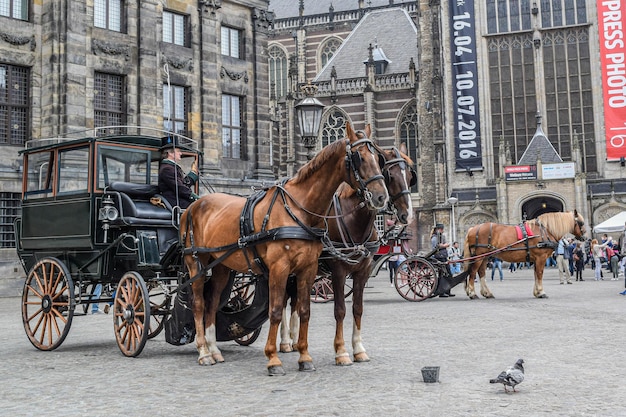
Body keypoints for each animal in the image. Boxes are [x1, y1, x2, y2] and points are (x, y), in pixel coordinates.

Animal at [178, 122, 388, 374]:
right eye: (359, 158)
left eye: (378, 158)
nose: (381, 197)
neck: (300, 210)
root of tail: (193, 206)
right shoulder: (282, 267)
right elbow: (276, 310)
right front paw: (273, 359)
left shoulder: (308, 268)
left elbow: (305, 310)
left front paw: (304, 356)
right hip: (195, 263)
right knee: (199, 303)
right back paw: (203, 352)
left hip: (222, 266)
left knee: (212, 303)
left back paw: (214, 350)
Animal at [280, 145, 414, 364]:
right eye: (390, 176)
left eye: (410, 176)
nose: (407, 214)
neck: (353, 218)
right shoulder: (338, 272)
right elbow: (340, 310)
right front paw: (341, 352)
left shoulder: (363, 271)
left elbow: (357, 309)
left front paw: (359, 349)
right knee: (284, 300)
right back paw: (284, 341)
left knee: (293, 301)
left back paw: (292, 341)